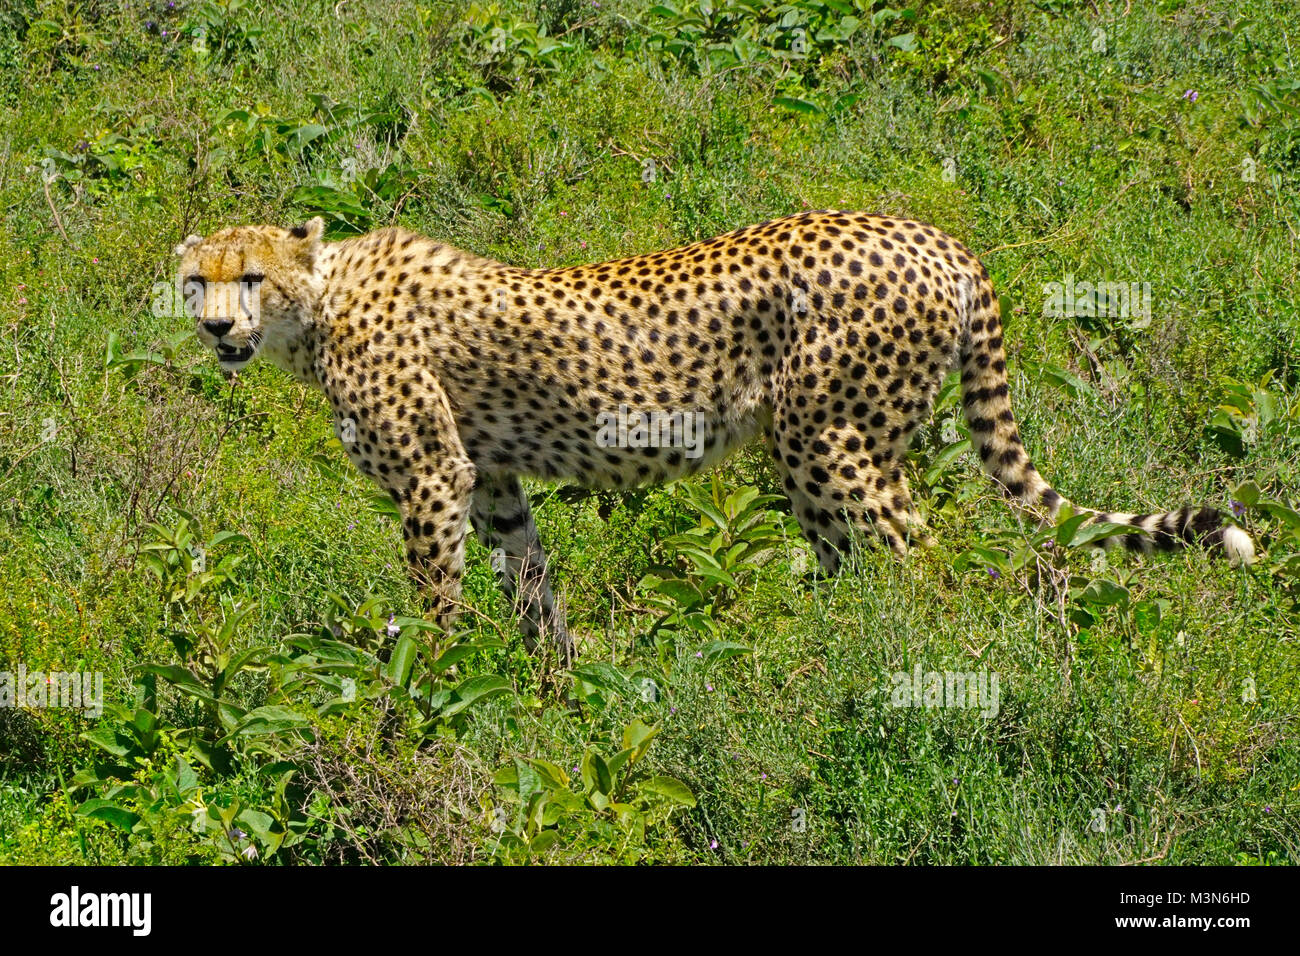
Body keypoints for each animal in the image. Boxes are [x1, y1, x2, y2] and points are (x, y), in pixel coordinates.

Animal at [178, 208, 1253, 658]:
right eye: (199, 280)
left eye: (252, 278)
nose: (218, 330)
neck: (319, 306)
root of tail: (933, 236)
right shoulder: (490, 483)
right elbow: (531, 585)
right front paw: (556, 688)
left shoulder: (433, 478)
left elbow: (436, 601)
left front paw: (432, 689)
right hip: (830, 455)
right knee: (856, 561)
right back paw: (807, 660)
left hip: (829, 439)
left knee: (917, 555)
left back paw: (893, 667)